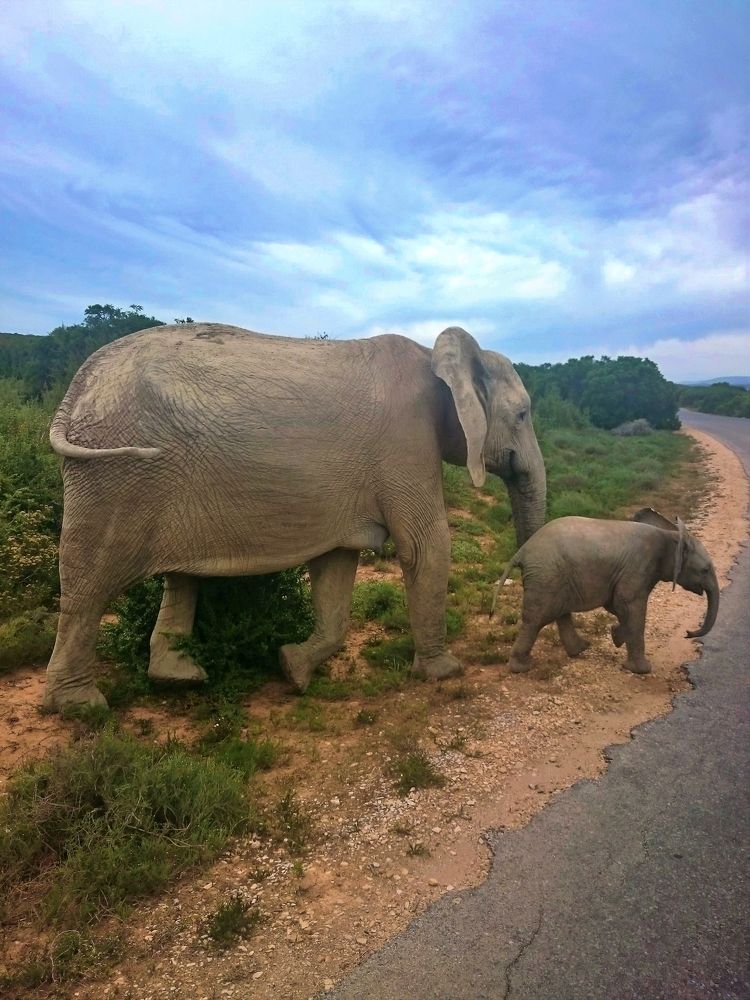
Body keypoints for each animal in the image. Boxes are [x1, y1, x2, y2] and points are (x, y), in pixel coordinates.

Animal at [44, 323, 546, 710]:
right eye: (523, 415)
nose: (516, 657)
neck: (434, 354)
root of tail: (79, 386)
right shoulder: (406, 443)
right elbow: (426, 545)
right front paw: (444, 673)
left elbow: (337, 565)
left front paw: (292, 669)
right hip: (112, 471)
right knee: (89, 585)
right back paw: (80, 707)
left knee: (177, 577)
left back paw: (179, 678)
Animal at [491, 507, 719, 675]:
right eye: (705, 570)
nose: (688, 633)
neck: (670, 535)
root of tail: (522, 551)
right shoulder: (638, 567)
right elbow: (629, 605)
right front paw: (641, 670)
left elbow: (618, 606)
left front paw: (617, 636)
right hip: (547, 574)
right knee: (537, 618)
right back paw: (522, 668)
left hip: (555, 576)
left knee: (559, 612)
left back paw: (580, 649)